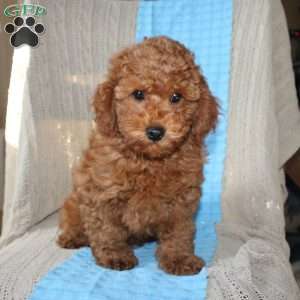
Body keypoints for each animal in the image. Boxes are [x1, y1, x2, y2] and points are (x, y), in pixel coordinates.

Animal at [58, 36, 218, 276]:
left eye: (176, 97)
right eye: (138, 94)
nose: (155, 132)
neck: (148, 161)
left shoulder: (182, 199)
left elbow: (179, 231)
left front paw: (179, 258)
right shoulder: (102, 193)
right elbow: (108, 229)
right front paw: (115, 255)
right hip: (75, 200)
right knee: (73, 218)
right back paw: (73, 236)